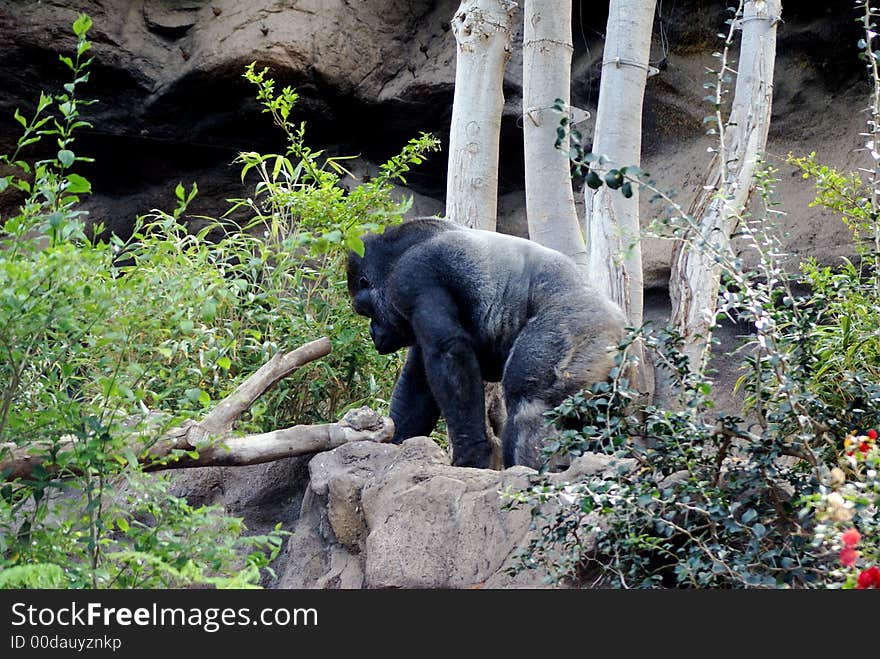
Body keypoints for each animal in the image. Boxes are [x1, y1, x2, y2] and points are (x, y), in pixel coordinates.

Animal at [344, 219, 624, 472]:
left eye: (365, 311)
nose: (372, 332)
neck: (394, 258)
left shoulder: (412, 278)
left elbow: (449, 353)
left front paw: (472, 454)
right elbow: (419, 381)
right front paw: (396, 441)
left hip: (575, 326)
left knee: (529, 404)